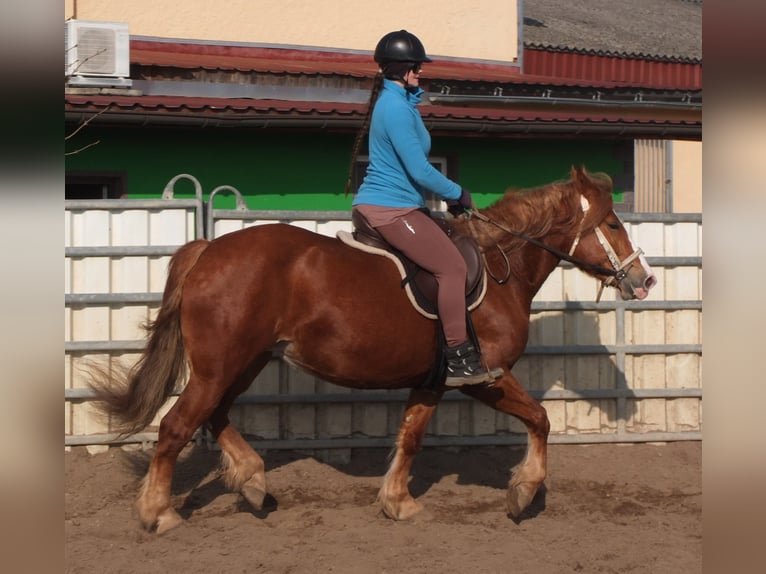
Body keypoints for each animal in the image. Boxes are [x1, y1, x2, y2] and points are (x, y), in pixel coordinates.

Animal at [88, 166, 656, 536]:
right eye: (612, 224)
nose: (645, 280)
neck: (501, 268)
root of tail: (210, 249)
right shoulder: (486, 377)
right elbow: (540, 418)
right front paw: (523, 492)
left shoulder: (432, 381)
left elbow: (410, 437)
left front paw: (398, 502)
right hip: (219, 367)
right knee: (176, 427)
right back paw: (159, 513)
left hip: (242, 363)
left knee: (216, 415)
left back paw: (252, 481)